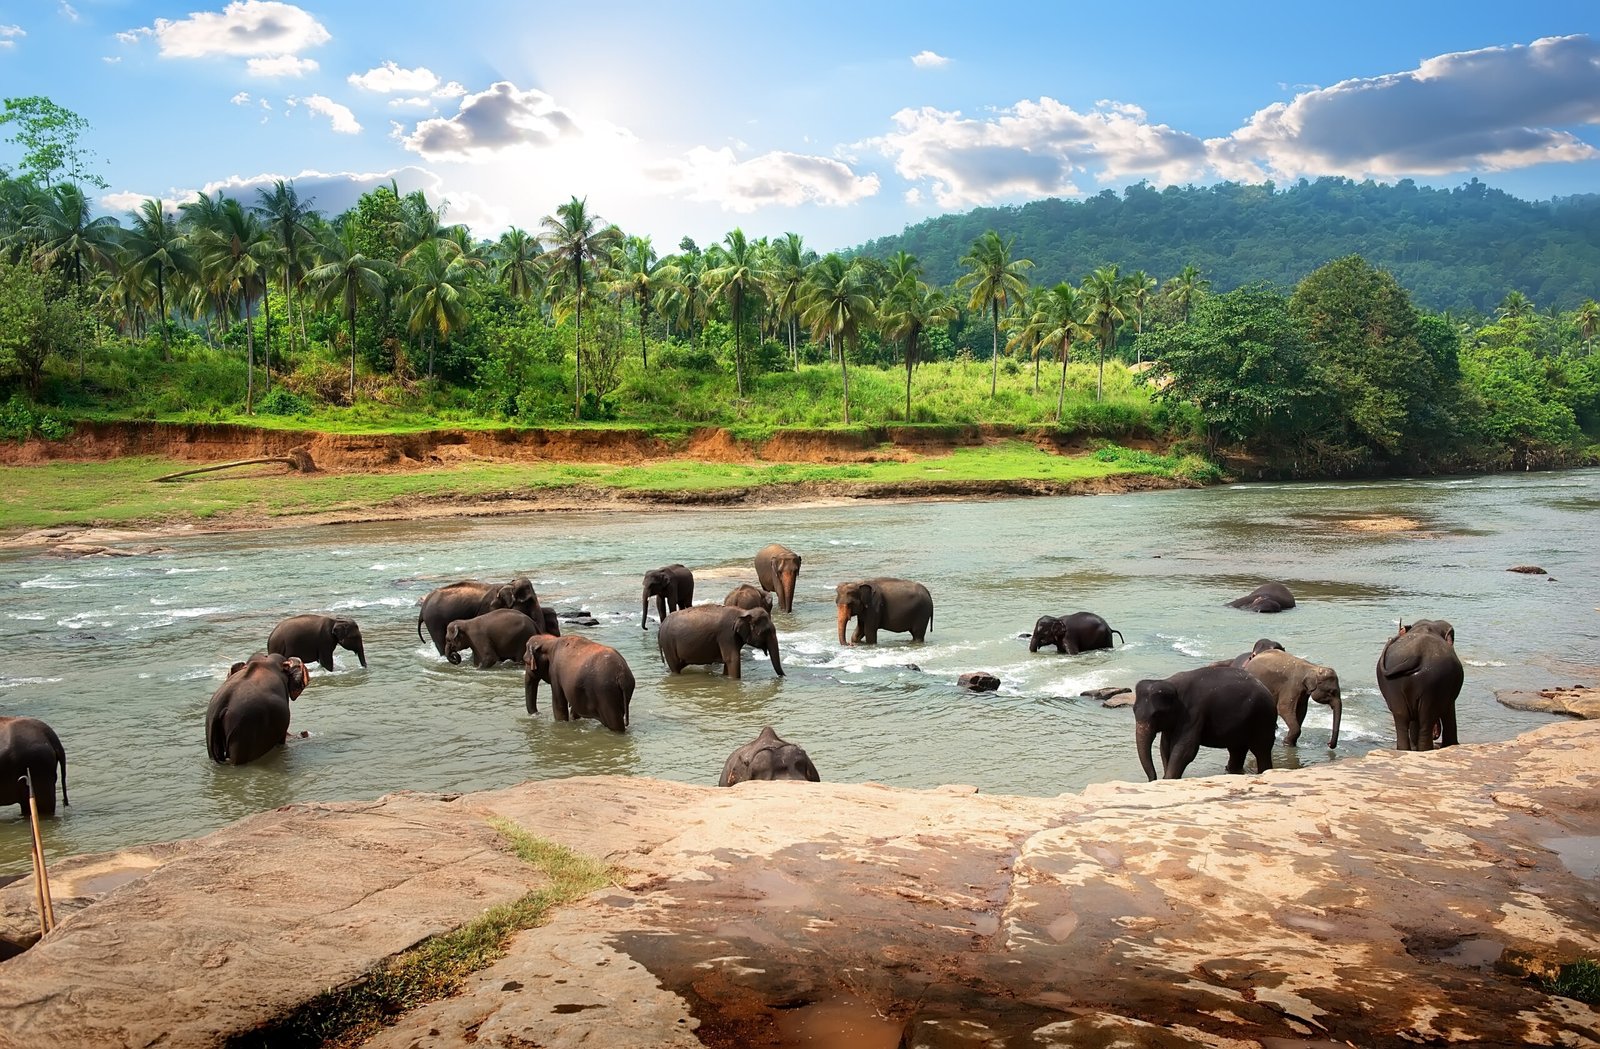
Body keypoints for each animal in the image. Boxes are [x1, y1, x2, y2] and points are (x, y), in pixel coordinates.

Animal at [1133, 666, 1277, 780]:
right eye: (1134, 711)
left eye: (1156, 714)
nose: (1154, 778)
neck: (1171, 683)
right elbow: (1165, 746)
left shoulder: (1193, 714)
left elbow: (1185, 749)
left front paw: (1168, 778)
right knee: (1237, 750)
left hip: (1263, 719)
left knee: (1261, 750)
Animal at [1377, 619, 1464, 751]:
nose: (1435, 734)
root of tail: (1416, 656)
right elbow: (1449, 709)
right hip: (1433, 683)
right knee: (1426, 719)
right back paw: (1426, 749)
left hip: (1393, 686)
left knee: (1401, 717)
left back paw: (1407, 750)